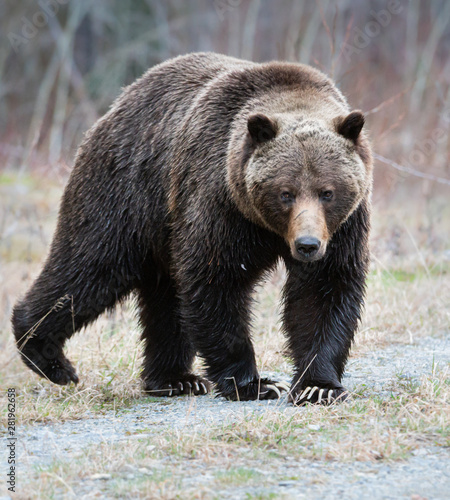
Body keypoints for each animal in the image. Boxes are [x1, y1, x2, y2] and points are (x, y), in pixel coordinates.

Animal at [13, 51, 372, 402]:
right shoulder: (220, 203)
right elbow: (217, 281)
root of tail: (117, 104)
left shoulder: (343, 228)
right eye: (286, 193)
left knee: (164, 299)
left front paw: (318, 386)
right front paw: (255, 383)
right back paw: (48, 355)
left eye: (327, 192)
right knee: (89, 268)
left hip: (162, 226)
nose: (307, 245)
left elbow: (324, 289)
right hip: (126, 194)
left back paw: (174, 378)